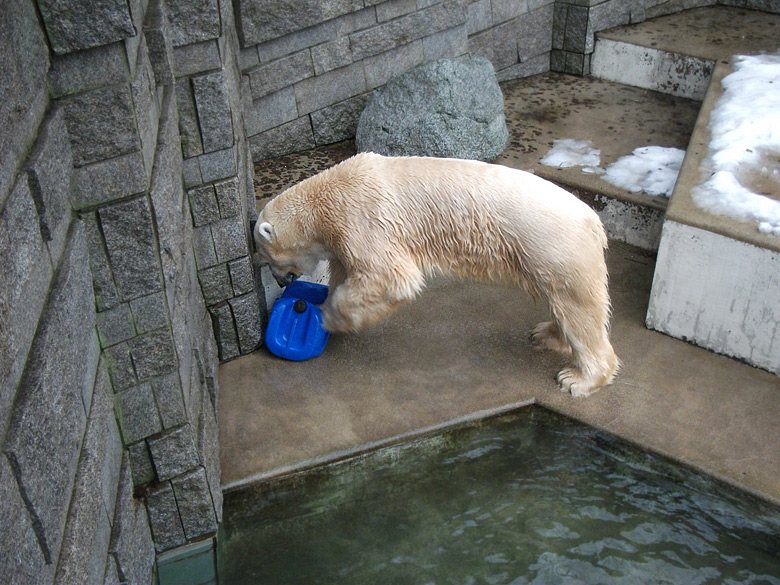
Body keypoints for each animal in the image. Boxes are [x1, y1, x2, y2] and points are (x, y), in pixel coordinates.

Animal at [256, 153, 620, 394]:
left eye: (265, 258)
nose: (281, 281)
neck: (326, 197)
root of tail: (594, 222)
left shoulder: (362, 219)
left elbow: (391, 278)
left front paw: (327, 316)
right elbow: (348, 272)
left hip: (556, 249)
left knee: (578, 309)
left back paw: (578, 378)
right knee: (561, 305)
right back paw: (546, 334)